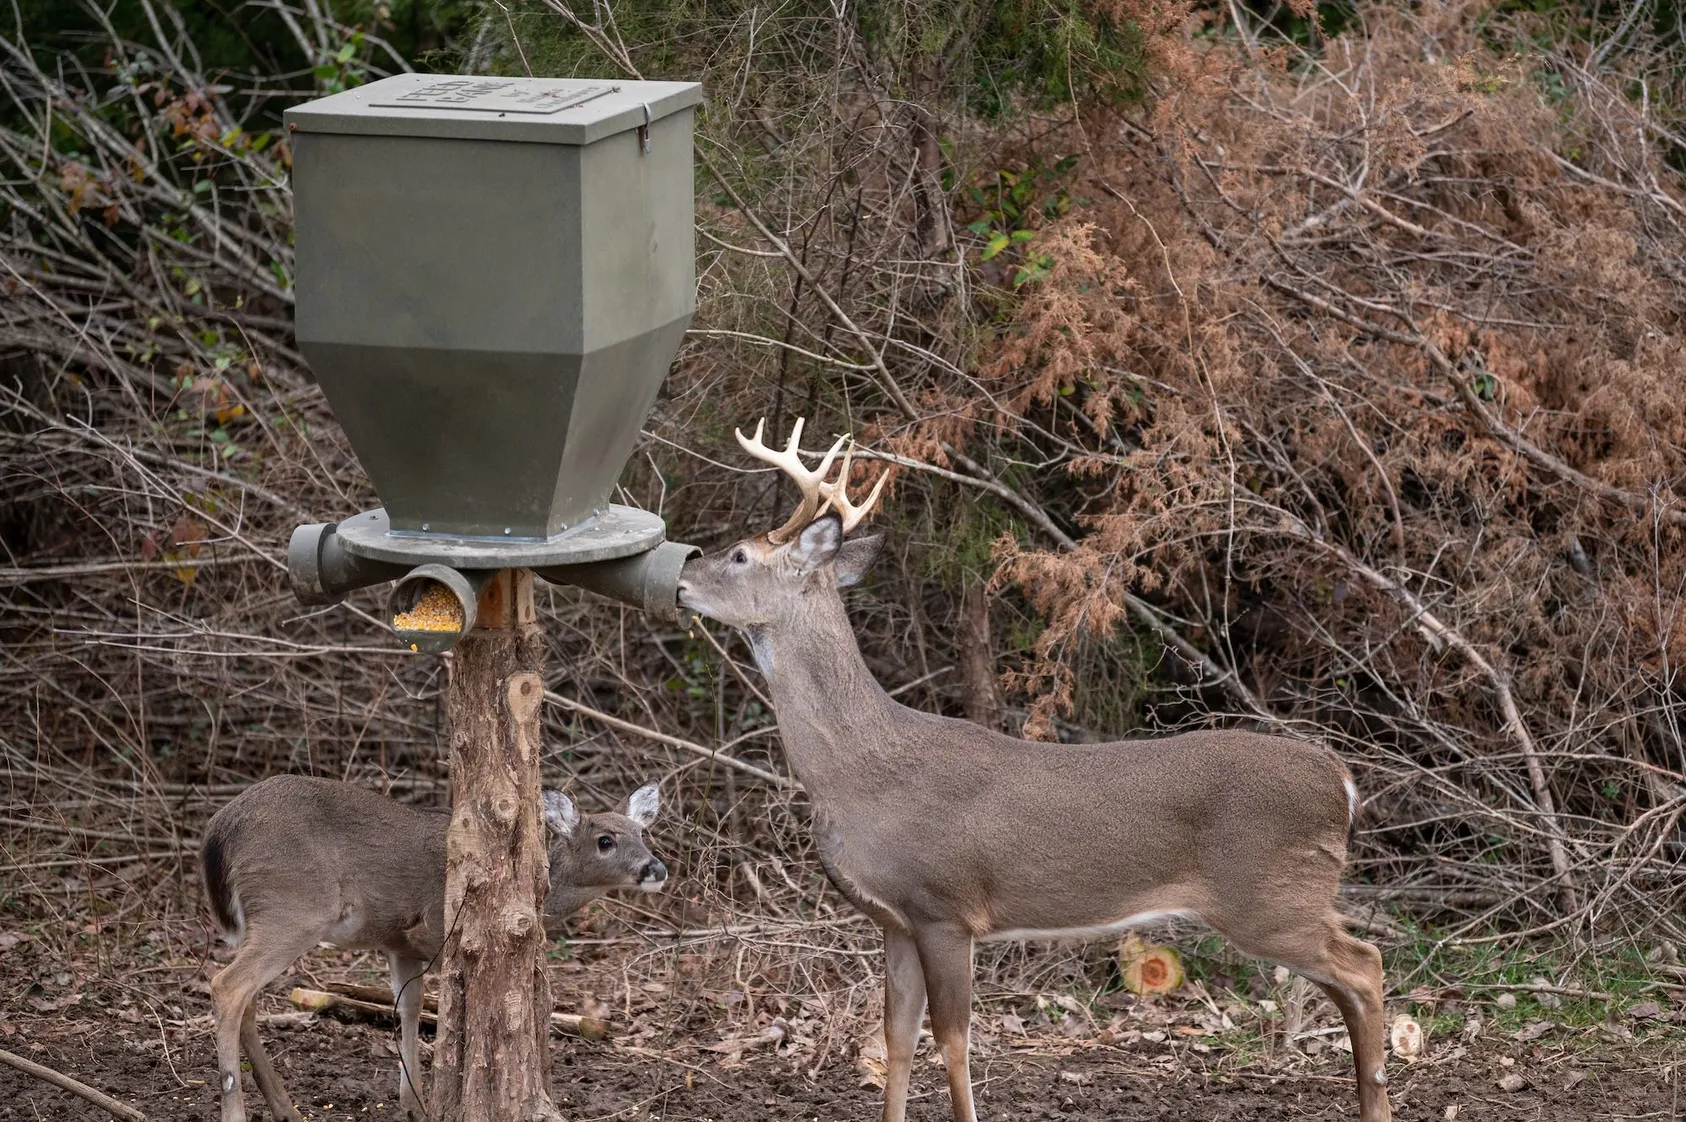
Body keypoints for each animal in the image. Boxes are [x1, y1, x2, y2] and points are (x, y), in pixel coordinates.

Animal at [200, 774, 666, 1122]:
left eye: (643, 833)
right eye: (605, 840)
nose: (656, 867)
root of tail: (217, 831)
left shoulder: (400, 946)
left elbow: (407, 1009)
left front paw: (415, 1104)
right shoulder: (441, 931)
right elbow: (443, 1012)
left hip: (263, 919)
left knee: (248, 1001)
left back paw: (286, 1109)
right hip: (293, 908)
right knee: (227, 986)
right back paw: (237, 1111)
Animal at [674, 418, 1393, 1122]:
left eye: (738, 556)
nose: (680, 578)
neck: (857, 772)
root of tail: (1341, 780)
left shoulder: (945, 907)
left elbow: (954, 1043)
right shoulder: (896, 920)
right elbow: (896, 1041)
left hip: (1270, 896)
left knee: (1367, 964)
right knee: (1348, 986)